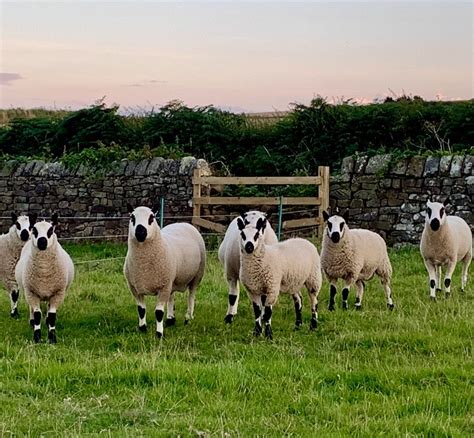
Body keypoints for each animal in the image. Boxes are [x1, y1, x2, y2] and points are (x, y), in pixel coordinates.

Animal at [14, 214, 73, 344]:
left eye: (50, 230)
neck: (44, 273)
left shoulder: (58, 293)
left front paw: (52, 338)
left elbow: (52, 316)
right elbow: (37, 315)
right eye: (34, 230)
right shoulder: (31, 292)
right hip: (28, 292)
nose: (42, 242)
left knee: (48, 308)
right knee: (31, 309)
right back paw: (31, 322)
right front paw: (37, 338)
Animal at [124, 205, 206, 338]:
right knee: (172, 296)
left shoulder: (163, 287)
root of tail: (183, 223)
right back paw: (170, 319)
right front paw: (142, 328)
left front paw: (159, 334)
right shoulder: (135, 288)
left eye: (151, 218)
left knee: (191, 296)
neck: (144, 267)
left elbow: (158, 312)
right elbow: (141, 310)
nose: (140, 233)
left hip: (197, 275)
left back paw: (188, 317)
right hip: (171, 280)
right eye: (132, 217)